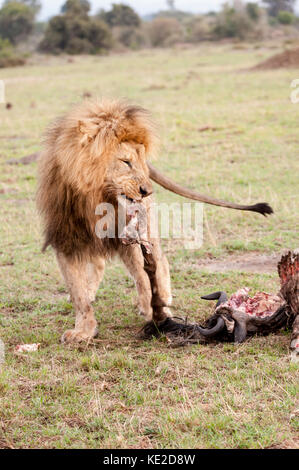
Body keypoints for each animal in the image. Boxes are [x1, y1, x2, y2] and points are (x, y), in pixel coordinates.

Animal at [37, 99, 274, 344]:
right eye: (126, 162)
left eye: (141, 162)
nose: (147, 191)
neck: (94, 198)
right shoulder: (65, 239)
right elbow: (79, 294)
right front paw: (83, 330)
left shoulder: (131, 234)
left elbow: (144, 276)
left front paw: (157, 313)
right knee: (100, 264)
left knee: (159, 262)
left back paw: (161, 299)